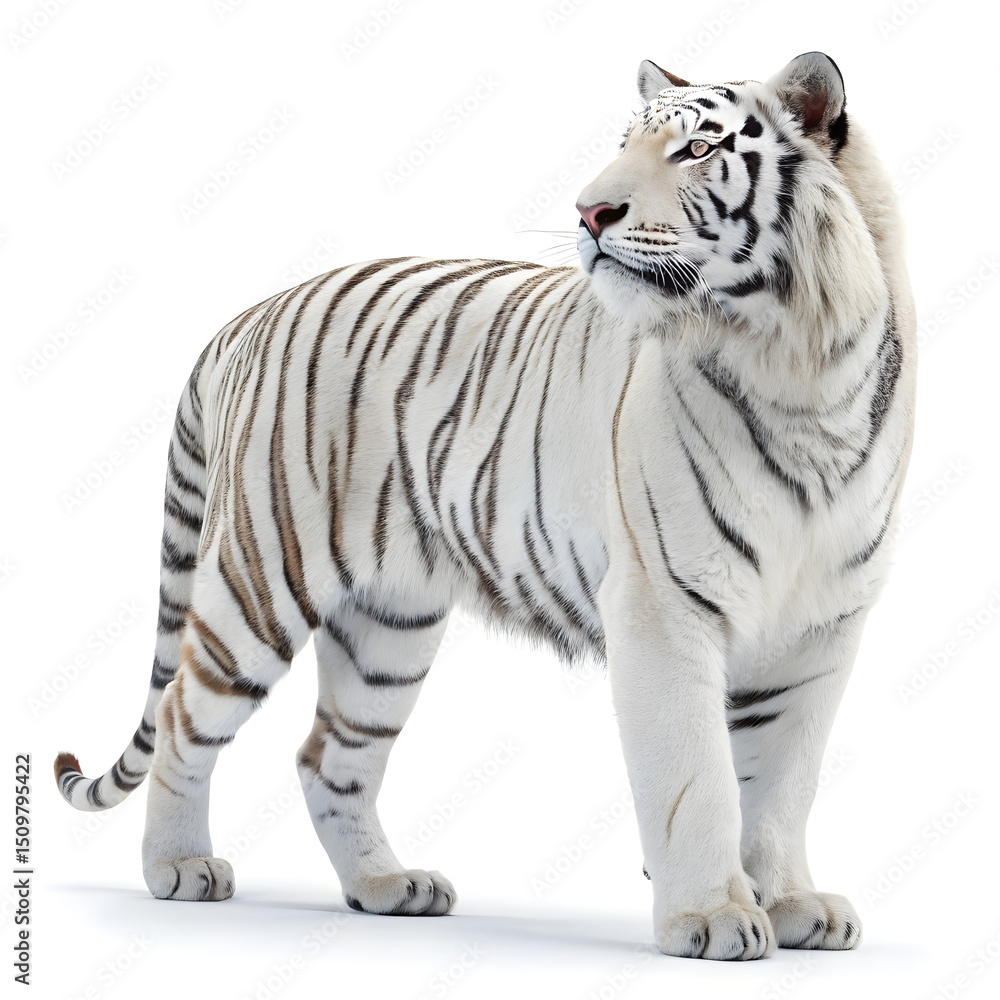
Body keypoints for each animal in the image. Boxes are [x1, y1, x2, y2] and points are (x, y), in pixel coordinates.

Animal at [55, 51, 915, 961]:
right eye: (624, 146)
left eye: (695, 150)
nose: (590, 210)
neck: (802, 370)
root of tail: (247, 317)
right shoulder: (664, 608)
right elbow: (699, 779)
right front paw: (712, 917)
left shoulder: (822, 627)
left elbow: (785, 782)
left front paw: (793, 905)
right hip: (260, 576)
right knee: (183, 715)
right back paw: (178, 867)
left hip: (389, 626)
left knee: (330, 756)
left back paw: (387, 887)